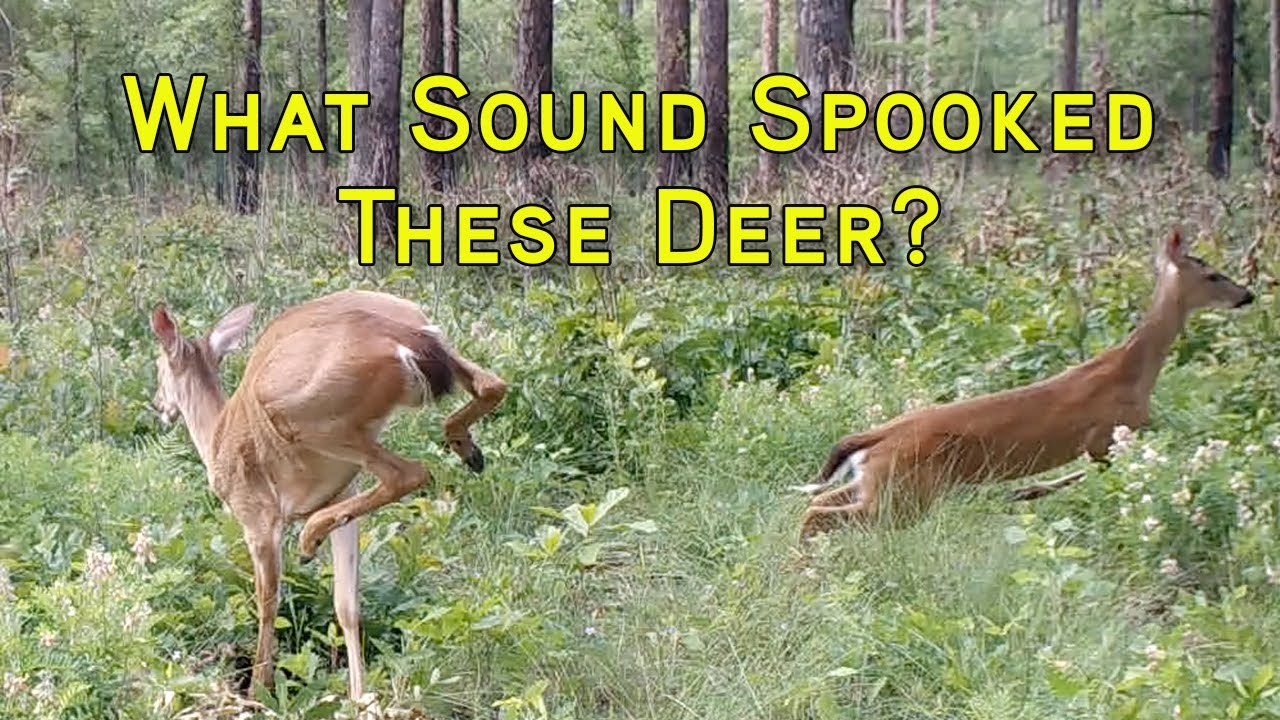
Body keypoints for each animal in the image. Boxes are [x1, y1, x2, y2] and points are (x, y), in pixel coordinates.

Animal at [147, 289, 507, 701]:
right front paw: (359, 697)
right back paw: (468, 450)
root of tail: (402, 339)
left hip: (303, 416)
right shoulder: (341, 493)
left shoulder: (256, 515)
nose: (158, 405)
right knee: (493, 384)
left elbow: (267, 599)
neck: (215, 436)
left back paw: (309, 538)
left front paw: (258, 690)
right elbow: (346, 604)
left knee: (410, 472)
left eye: (158, 365)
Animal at [796, 228, 1255, 539]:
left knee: (816, 502)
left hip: (876, 483)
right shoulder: (1105, 435)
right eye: (1213, 275)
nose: (1247, 295)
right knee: (822, 514)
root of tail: (876, 436)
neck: (1133, 371)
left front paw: (1029, 492)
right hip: (905, 494)